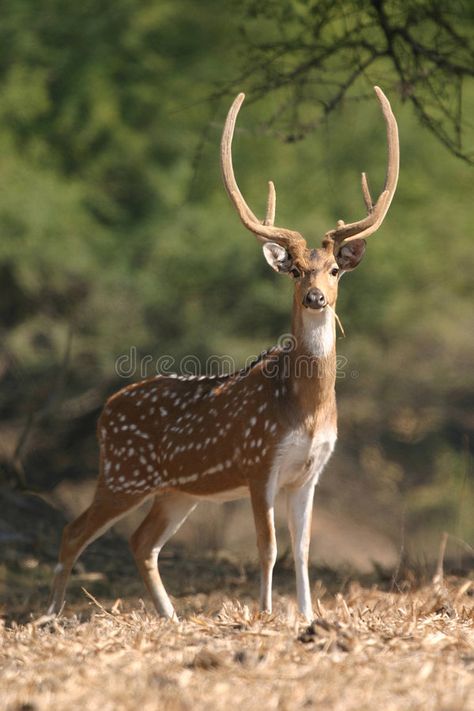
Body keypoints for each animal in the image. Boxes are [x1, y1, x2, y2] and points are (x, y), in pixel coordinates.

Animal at [48, 86, 398, 624]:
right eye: (295, 270)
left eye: (335, 269)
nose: (316, 297)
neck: (306, 409)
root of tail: (105, 411)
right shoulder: (258, 461)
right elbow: (268, 547)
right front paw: (266, 614)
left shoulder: (310, 472)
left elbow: (303, 549)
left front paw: (309, 617)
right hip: (123, 473)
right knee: (73, 532)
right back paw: (49, 615)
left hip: (175, 490)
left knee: (142, 542)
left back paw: (171, 618)